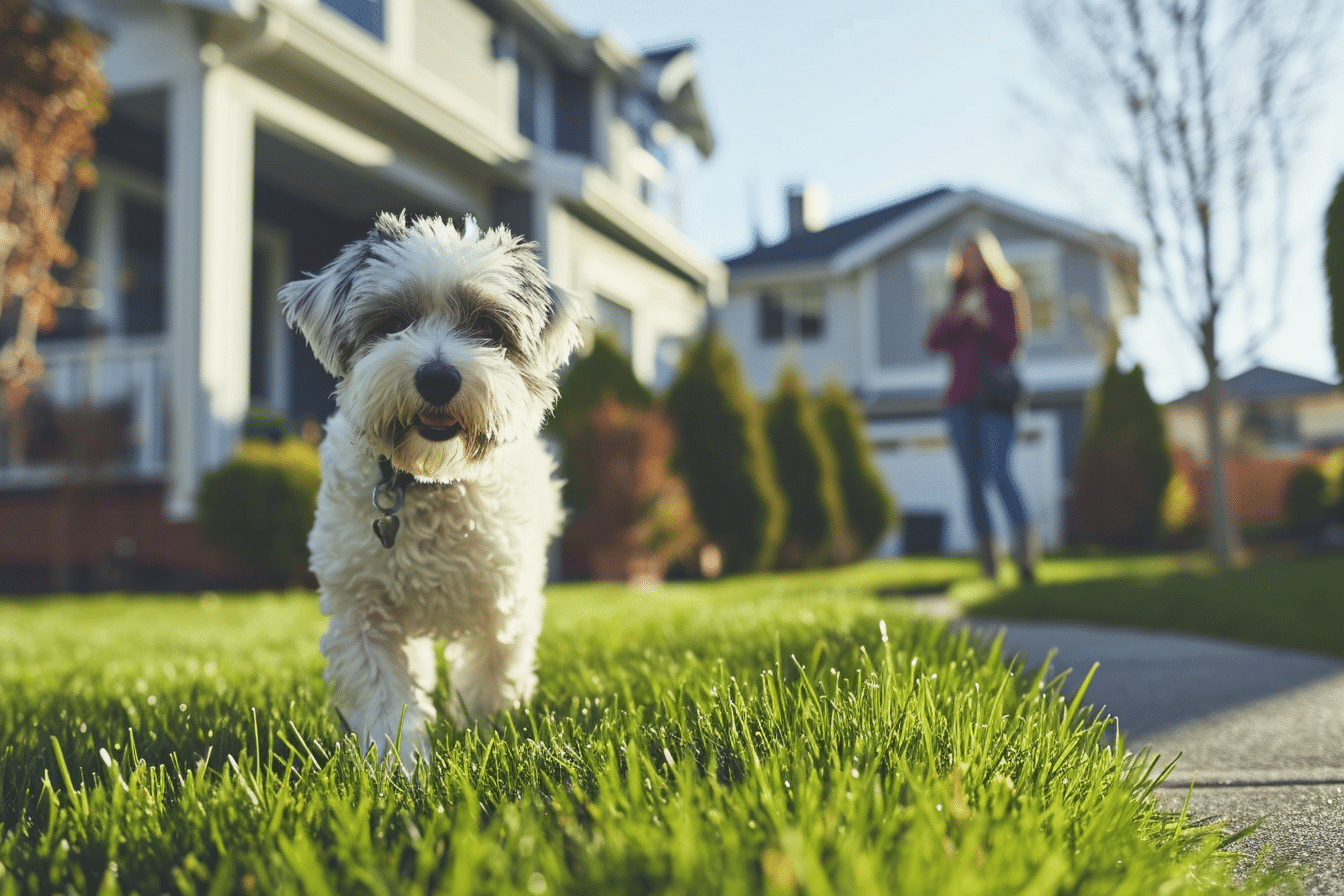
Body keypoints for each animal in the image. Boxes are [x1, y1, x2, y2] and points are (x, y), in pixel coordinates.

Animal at [280, 213, 580, 773]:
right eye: (393, 322)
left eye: (487, 328)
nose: (438, 377)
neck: (430, 481)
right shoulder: (364, 612)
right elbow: (385, 696)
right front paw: (399, 768)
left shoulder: (503, 603)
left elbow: (492, 677)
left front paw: (489, 739)